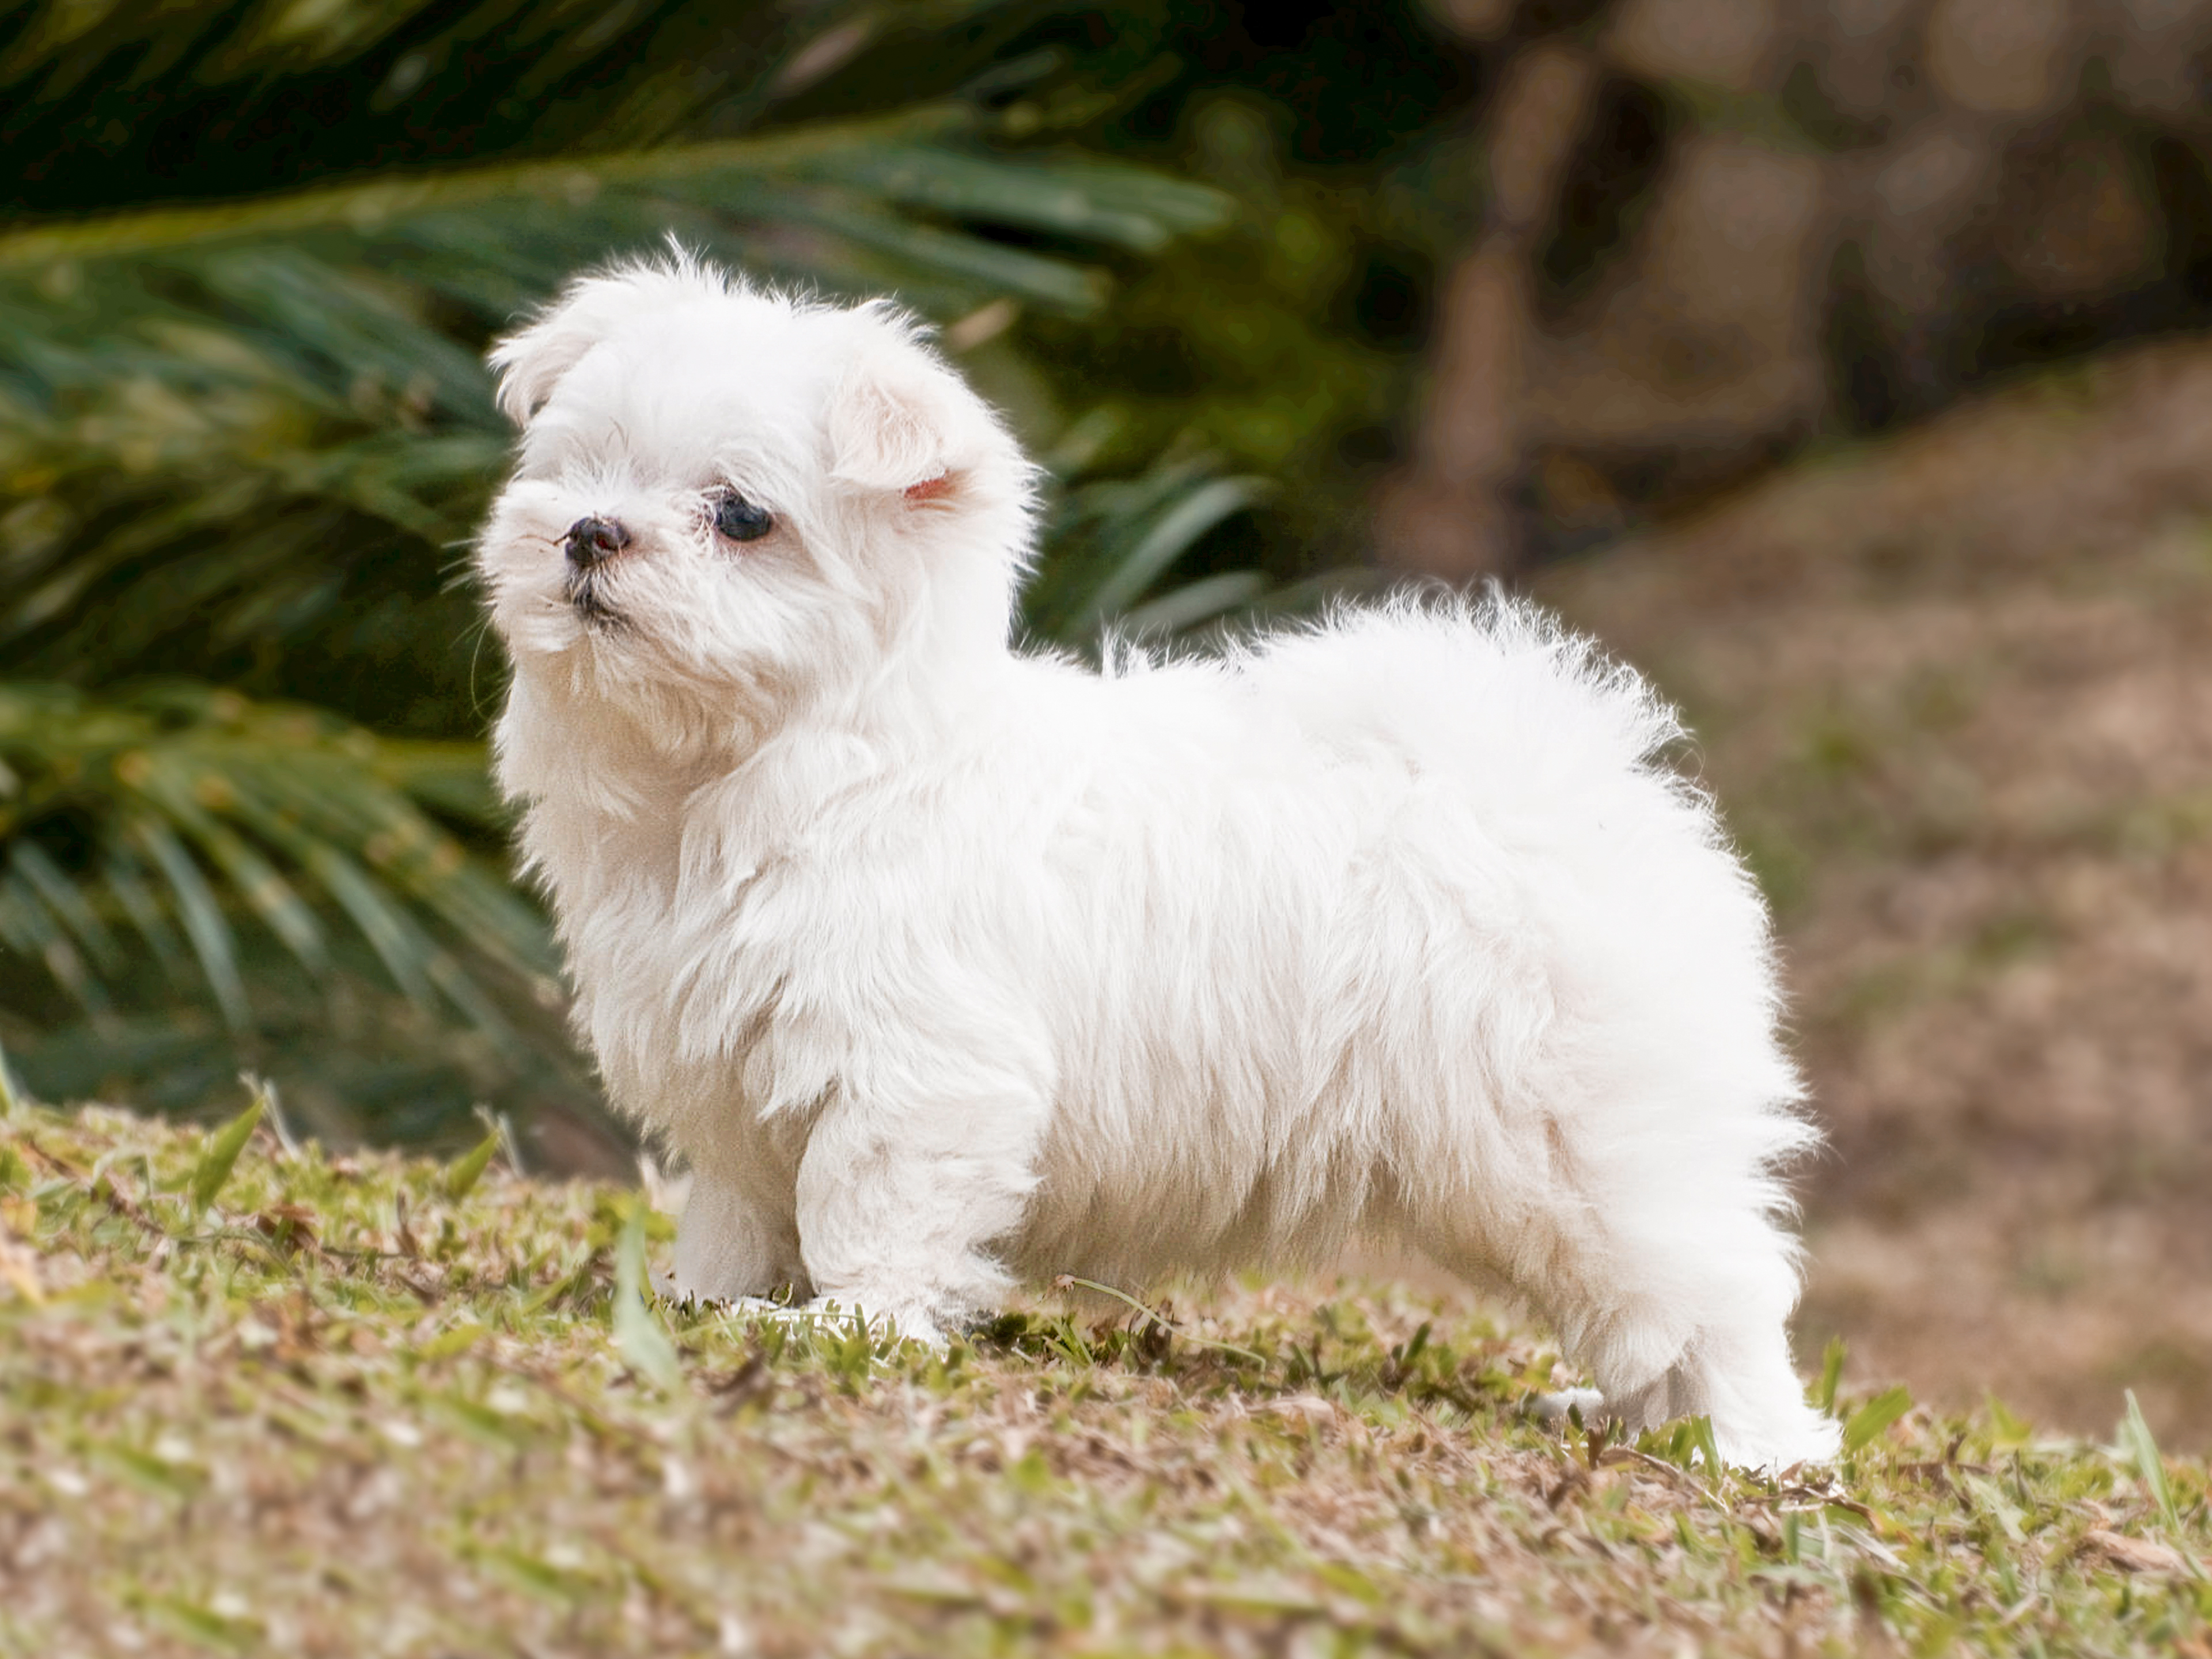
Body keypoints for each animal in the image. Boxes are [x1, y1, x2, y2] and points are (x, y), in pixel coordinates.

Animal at [471, 256, 1831, 1468]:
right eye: (583, 471)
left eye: (741, 516)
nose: (589, 533)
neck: (763, 770)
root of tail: (1562, 777)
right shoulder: (735, 1071)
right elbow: (742, 1208)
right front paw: (699, 1298)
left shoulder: (918, 1072)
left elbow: (871, 1204)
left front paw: (854, 1325)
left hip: (1583, 1145)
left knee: (1714, 1288)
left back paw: (1752, 1447)